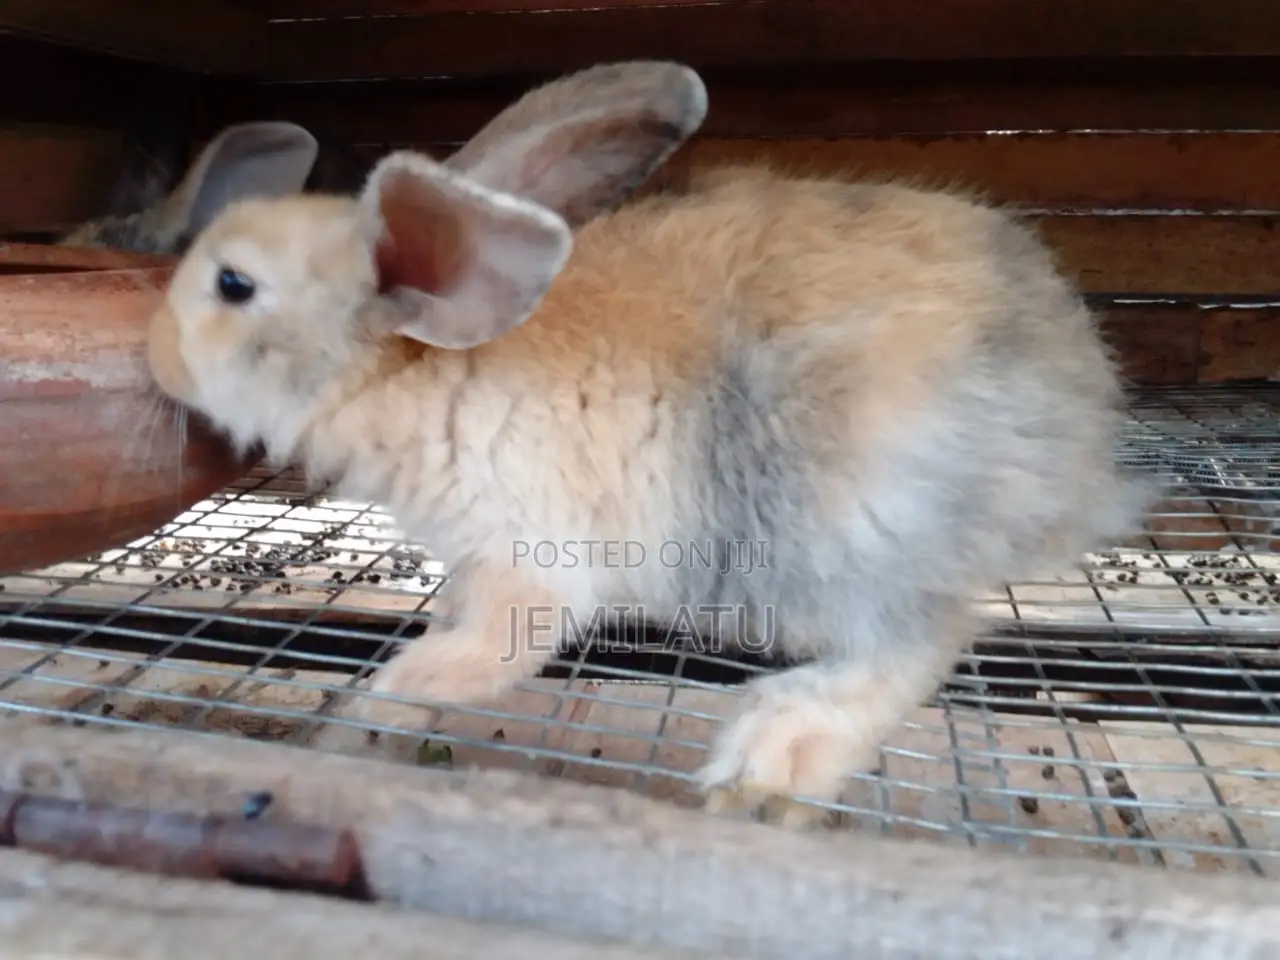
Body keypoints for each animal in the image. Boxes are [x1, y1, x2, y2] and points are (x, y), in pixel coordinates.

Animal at [143, 59, 1155, 827]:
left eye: (233, 284)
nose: (157, 358)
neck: (421, 368)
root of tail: (1082, 438)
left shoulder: (530, 571)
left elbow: (458, 664)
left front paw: (358, 725)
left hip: (847, 523)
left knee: (923, 640)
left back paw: (770, 760)